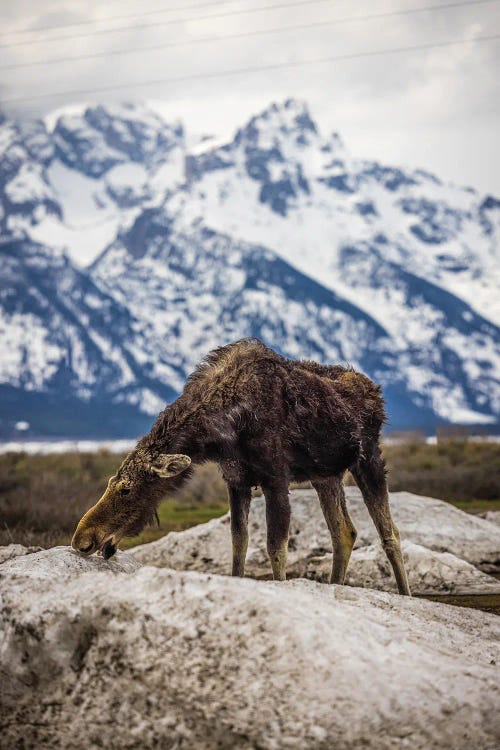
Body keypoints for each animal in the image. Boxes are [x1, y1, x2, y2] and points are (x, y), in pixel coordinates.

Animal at [73, 342, 410, 600]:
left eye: (126, 488)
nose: (82, 539)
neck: (220, 431)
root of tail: (376, 393)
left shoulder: (276, 478)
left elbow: (275, 547)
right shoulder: (236, 481)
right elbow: (239, 543)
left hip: (368, 458)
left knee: (390, 534)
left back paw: (405, 593)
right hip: (325, 475)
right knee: (344, 532)